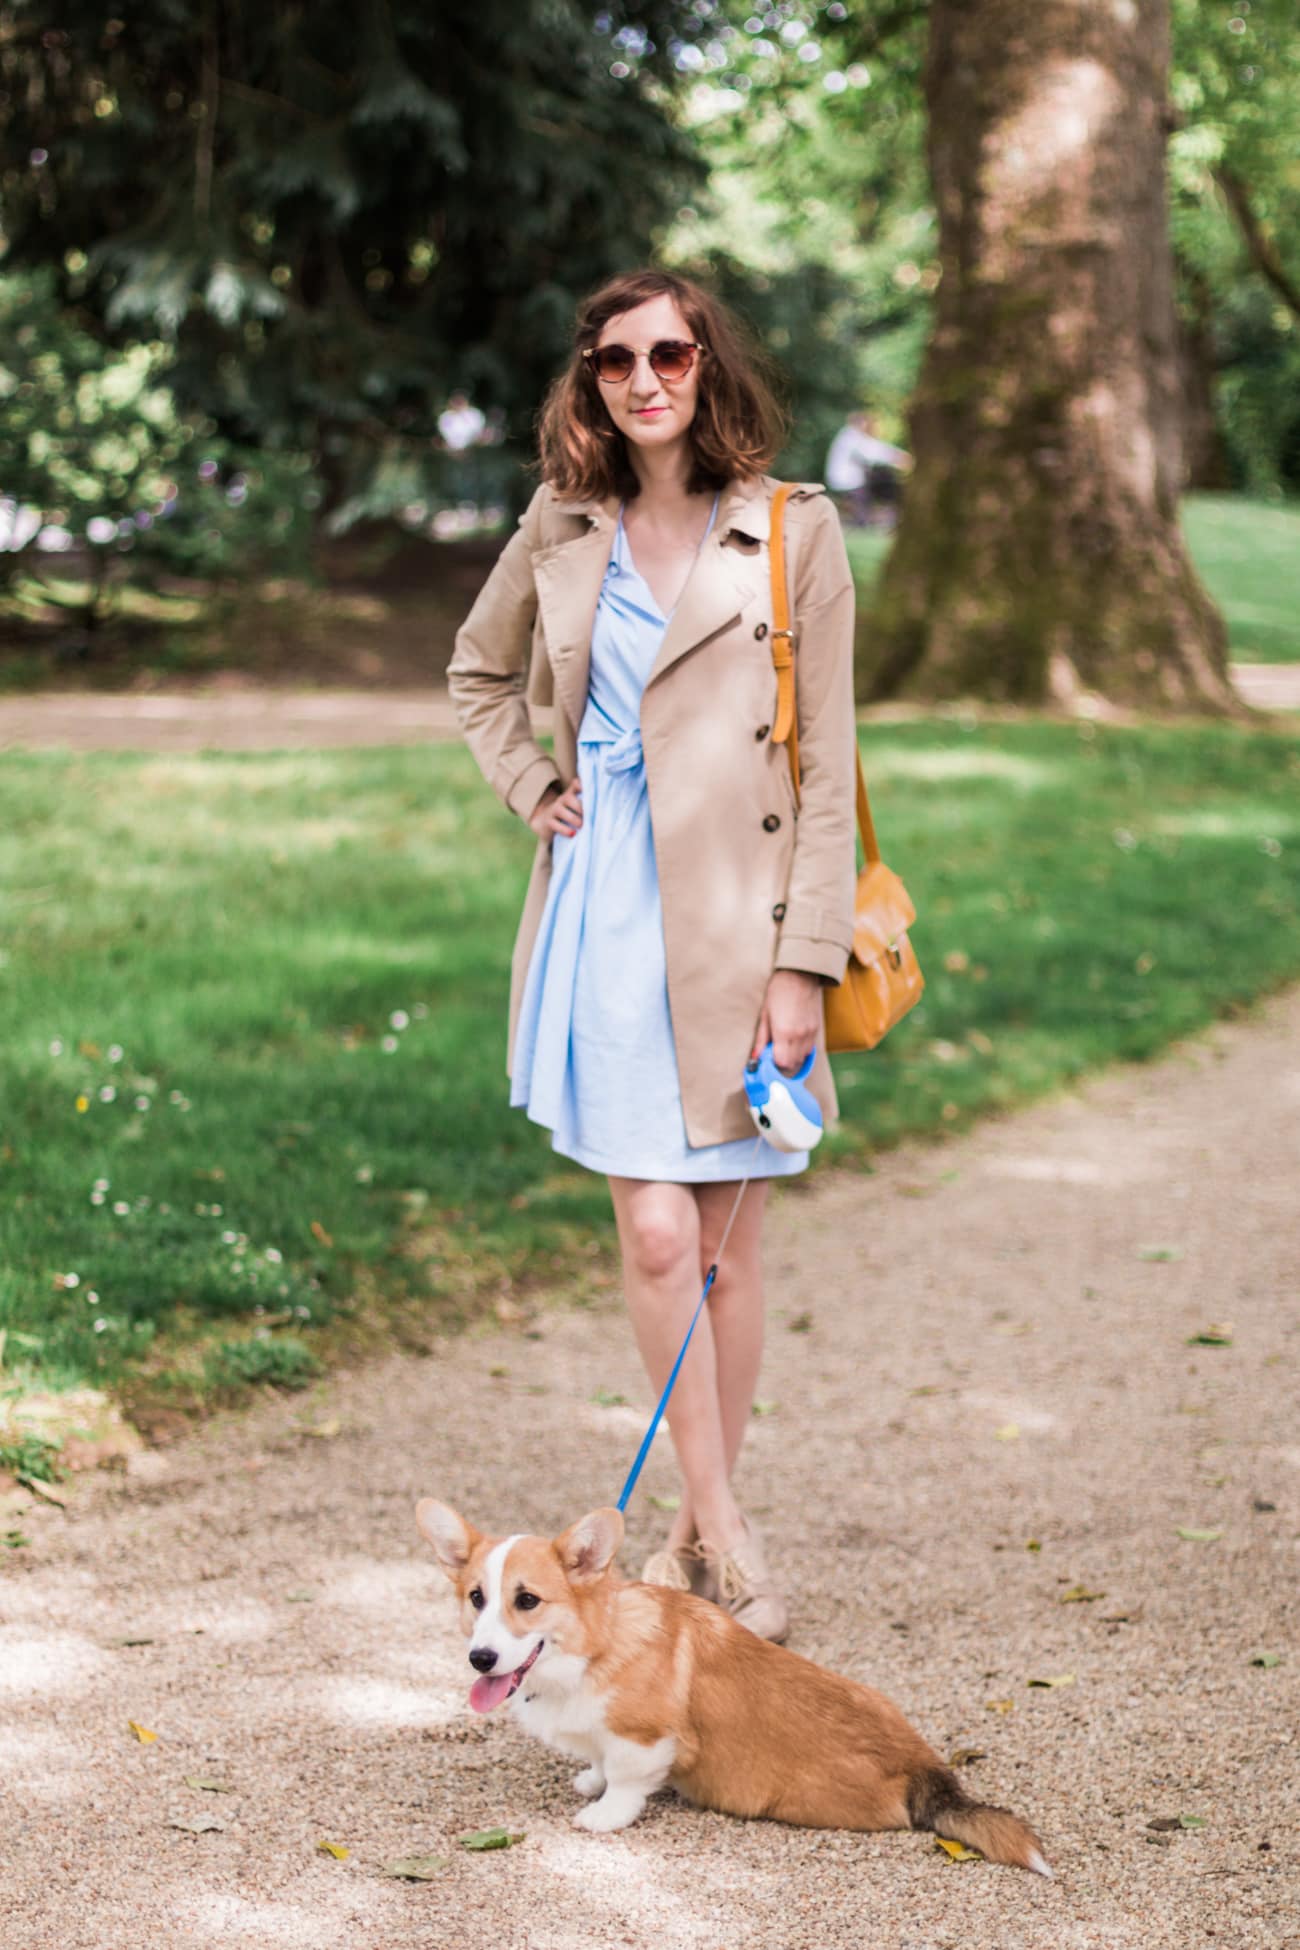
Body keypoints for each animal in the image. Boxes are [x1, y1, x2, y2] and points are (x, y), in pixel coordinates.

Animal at [416, 1499, 1051, 1873]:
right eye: (477, 1597)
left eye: (527, 1600)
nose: (480, 1659)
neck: (593, 1646)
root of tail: (925, 1769)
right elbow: (599, 1761)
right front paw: (589, 1780)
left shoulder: (644, 1738)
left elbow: (626, 1779)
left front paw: (604, 1813)